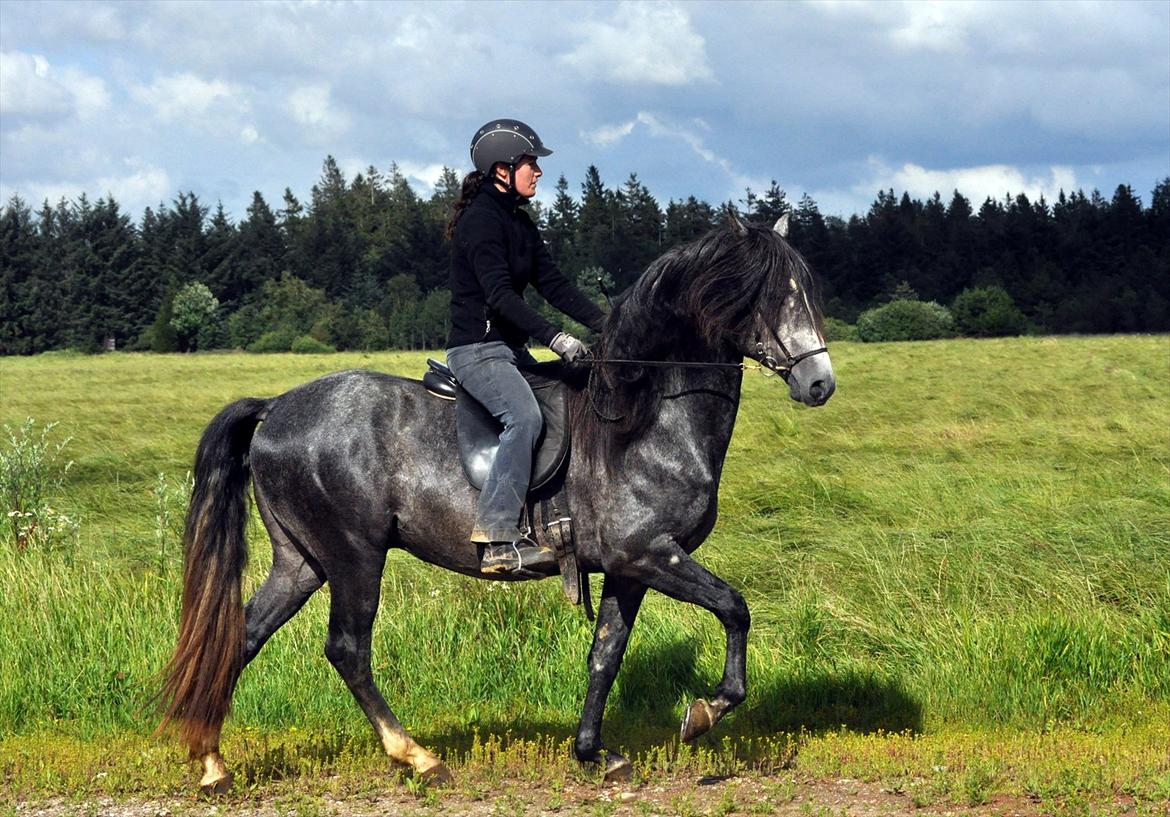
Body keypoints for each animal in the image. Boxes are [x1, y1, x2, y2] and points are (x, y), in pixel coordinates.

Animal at [160, 215, 837, 791]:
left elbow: (606, 653)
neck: (644, 418)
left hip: (301, 561)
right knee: (347, 649)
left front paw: (594, 753)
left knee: (243, 634)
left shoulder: (629, 567)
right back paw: (418, 758)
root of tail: (276, 407)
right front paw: (705, 712)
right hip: (354, 556)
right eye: (773, 296)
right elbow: (734, 608)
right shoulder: (649, 553)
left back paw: (213, 764)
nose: (819, 384)